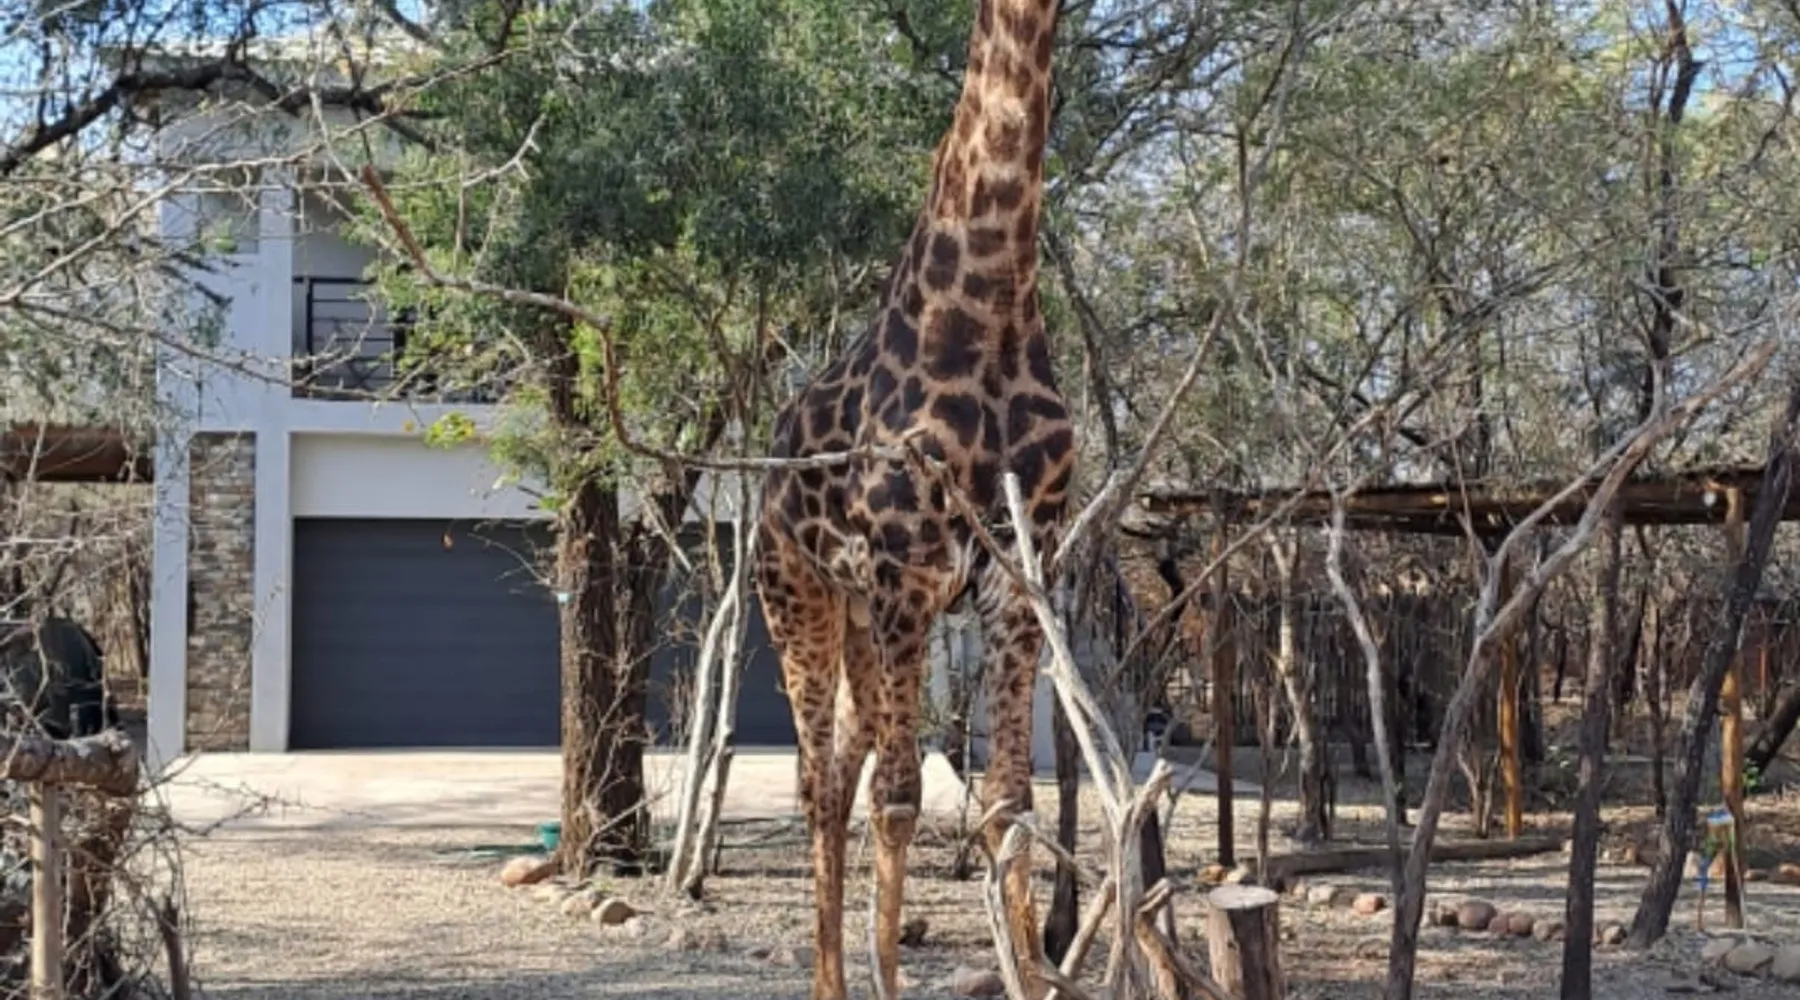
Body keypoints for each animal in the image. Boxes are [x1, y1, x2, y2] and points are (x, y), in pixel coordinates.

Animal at [753, 0, 1072, 996]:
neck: (993, 300)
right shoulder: (908, 571)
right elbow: (900, 801)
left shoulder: (1018, 581)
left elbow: (1010, 803)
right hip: (799, 598)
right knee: (818, 777)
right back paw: (828, 981)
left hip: (862, 619)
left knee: (840, 768)